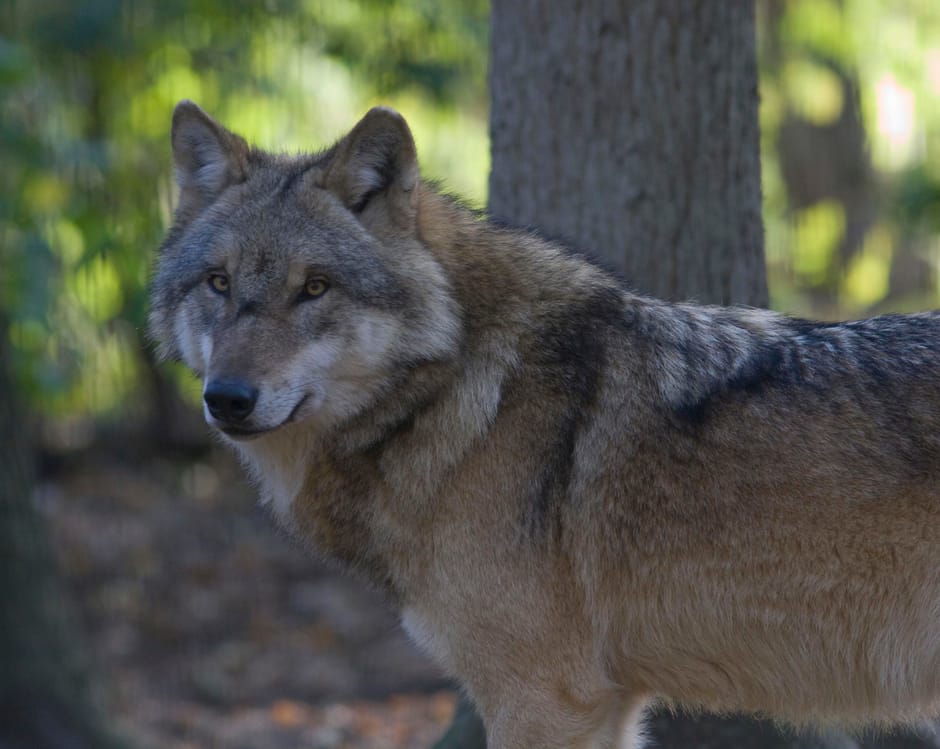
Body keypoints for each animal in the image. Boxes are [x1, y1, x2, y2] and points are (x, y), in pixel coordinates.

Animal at [149, 100, 940, 749]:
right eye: (218, 283)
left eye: (314, 288)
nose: (227, 398)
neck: (464, 393)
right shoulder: (600, 702)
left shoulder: (545, 698)